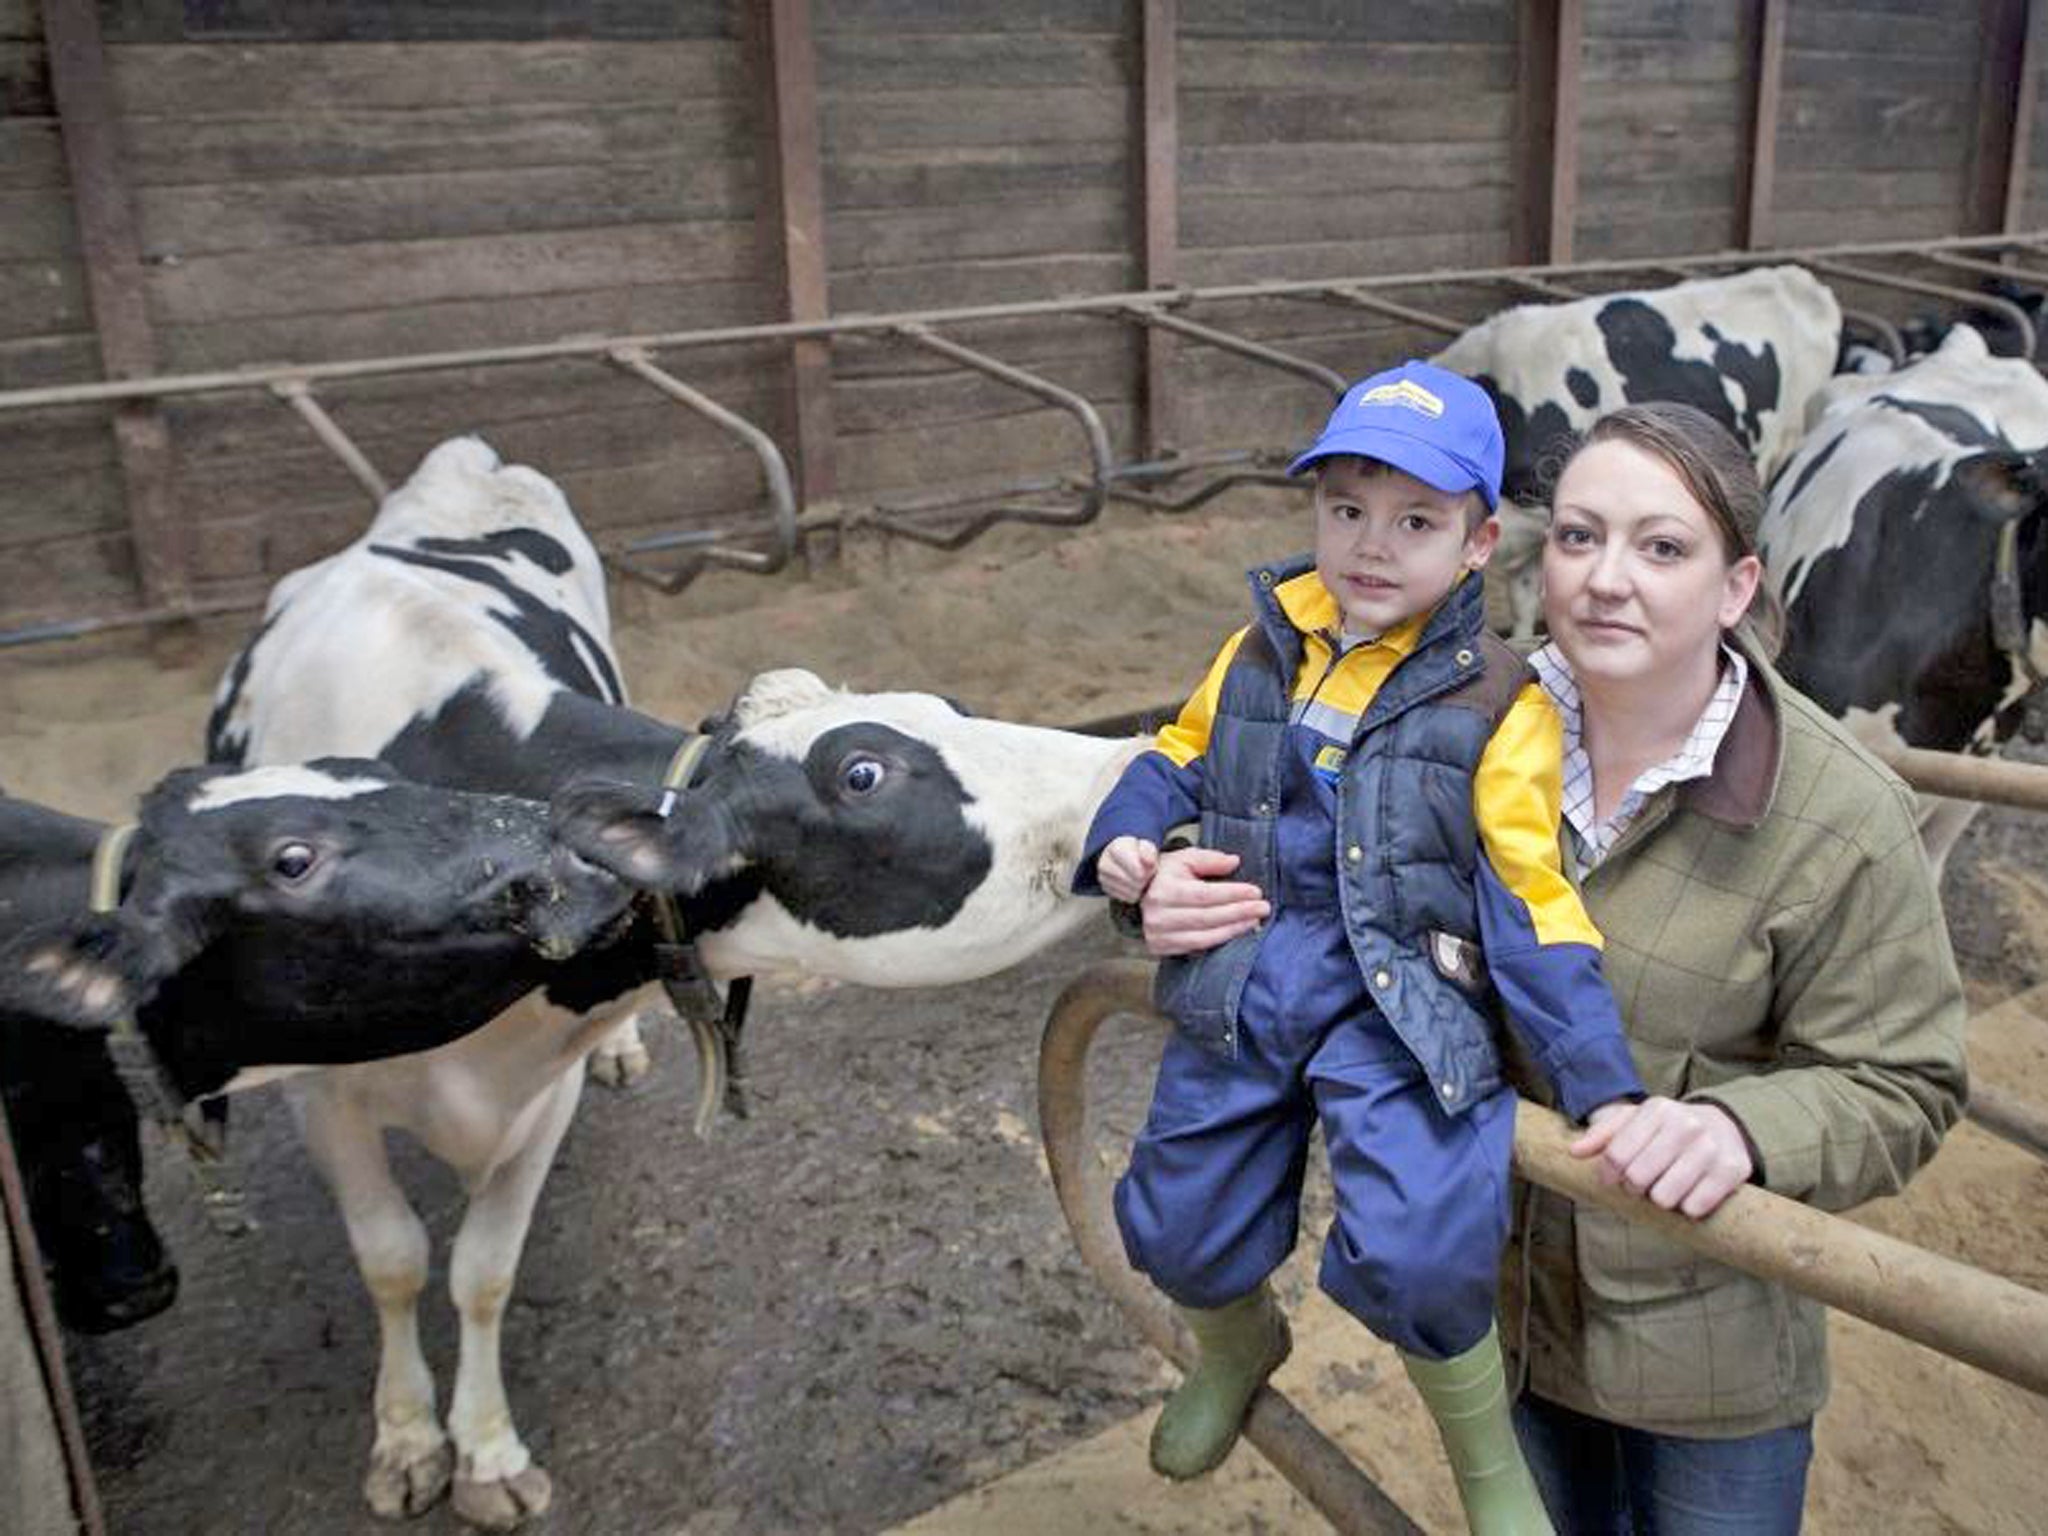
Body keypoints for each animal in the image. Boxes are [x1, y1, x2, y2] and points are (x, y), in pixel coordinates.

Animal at [203, 438, 1155, 1531]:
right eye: (863, 773)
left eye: (951, 709)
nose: (1140, 751)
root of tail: (461, 465)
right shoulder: (323, 1096)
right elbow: (393, 1260)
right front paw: (407, 1441)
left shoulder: (543, 1088)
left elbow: (483, 1272)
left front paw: (487, 1454)